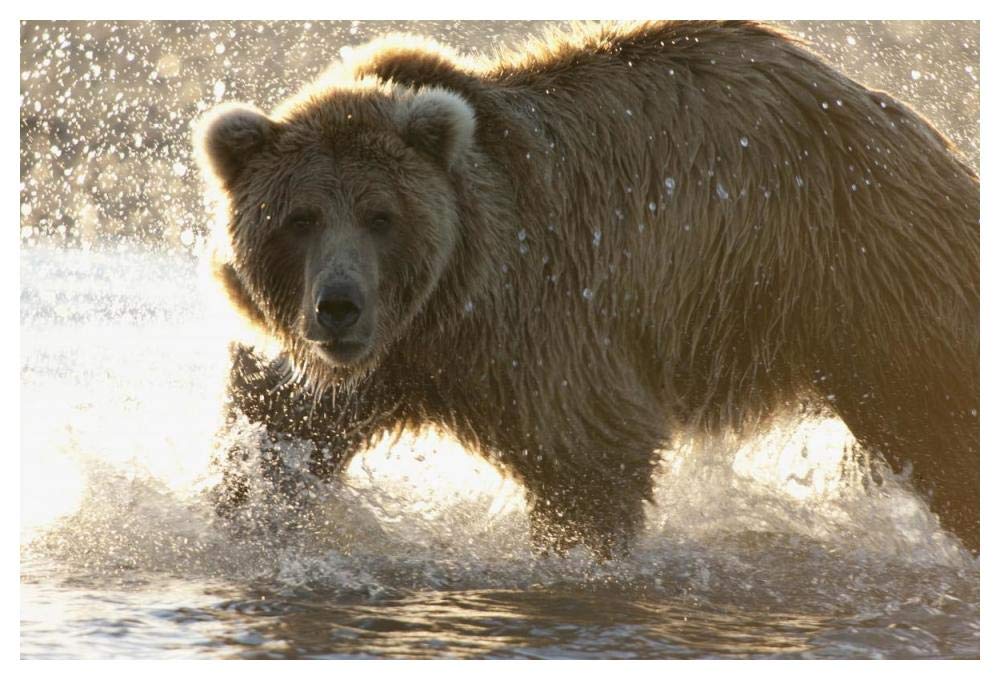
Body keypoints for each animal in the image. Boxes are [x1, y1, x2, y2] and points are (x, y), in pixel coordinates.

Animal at [196, 21, 980, 557]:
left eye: (381, 216)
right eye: (299, 218)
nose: (339, 306)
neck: (446, 309)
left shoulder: (545, 314)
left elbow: (590, 456)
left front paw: (577, 557)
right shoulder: (372, 366)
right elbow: (278, 430)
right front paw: (245, 520)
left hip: (864, 272)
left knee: (941, 424)